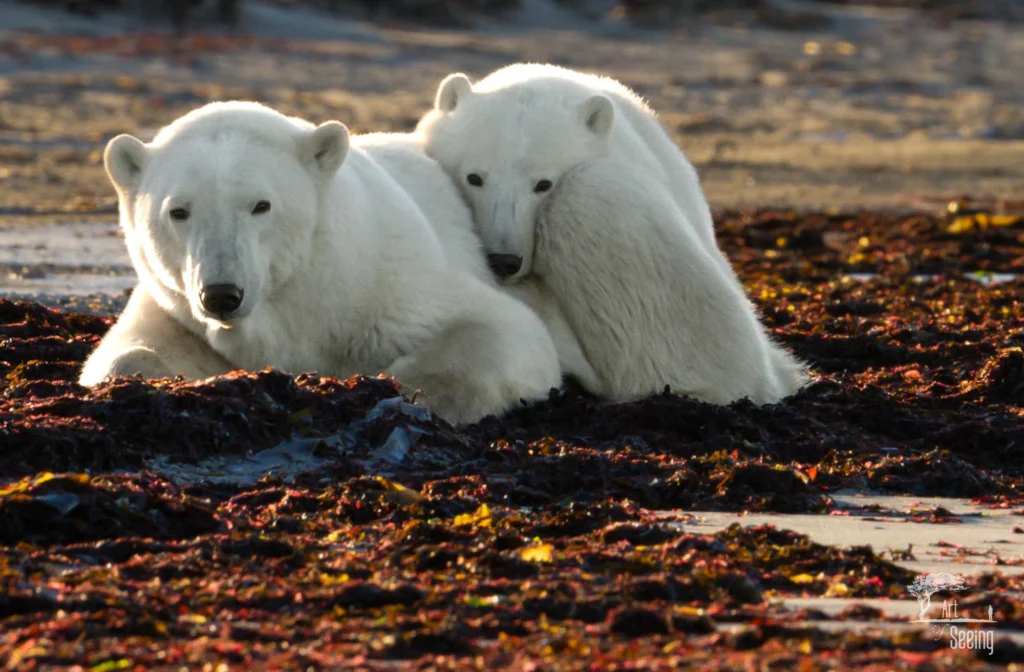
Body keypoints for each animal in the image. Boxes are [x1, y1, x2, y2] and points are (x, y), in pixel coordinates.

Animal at [79, 100, 562, 426]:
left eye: (261, 205)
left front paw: (410, 389)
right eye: (178, 211)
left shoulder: (388, 284)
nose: (220, 295)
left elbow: (504, 328)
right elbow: (127, 352)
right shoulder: (176, 309)